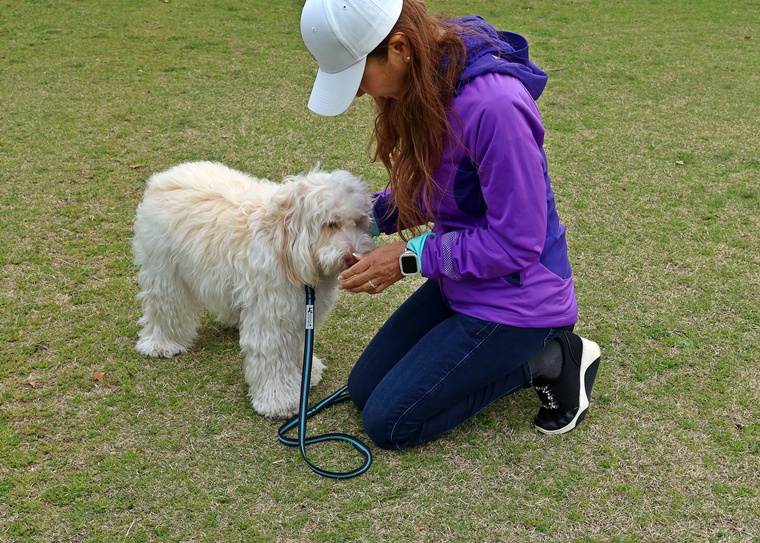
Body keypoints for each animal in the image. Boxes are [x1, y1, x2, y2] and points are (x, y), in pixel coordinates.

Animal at [132, 161, 375, 418]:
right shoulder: (273, 317)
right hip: (165, 271)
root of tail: (166, 176)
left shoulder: (299, 312)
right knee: (167, 306)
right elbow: (274, 357)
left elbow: (297, 346)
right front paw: (279, 400)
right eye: (330, 224)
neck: (285, 247)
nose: (352, 257)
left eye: (359, 221)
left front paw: (307, 373)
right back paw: (162, 343)